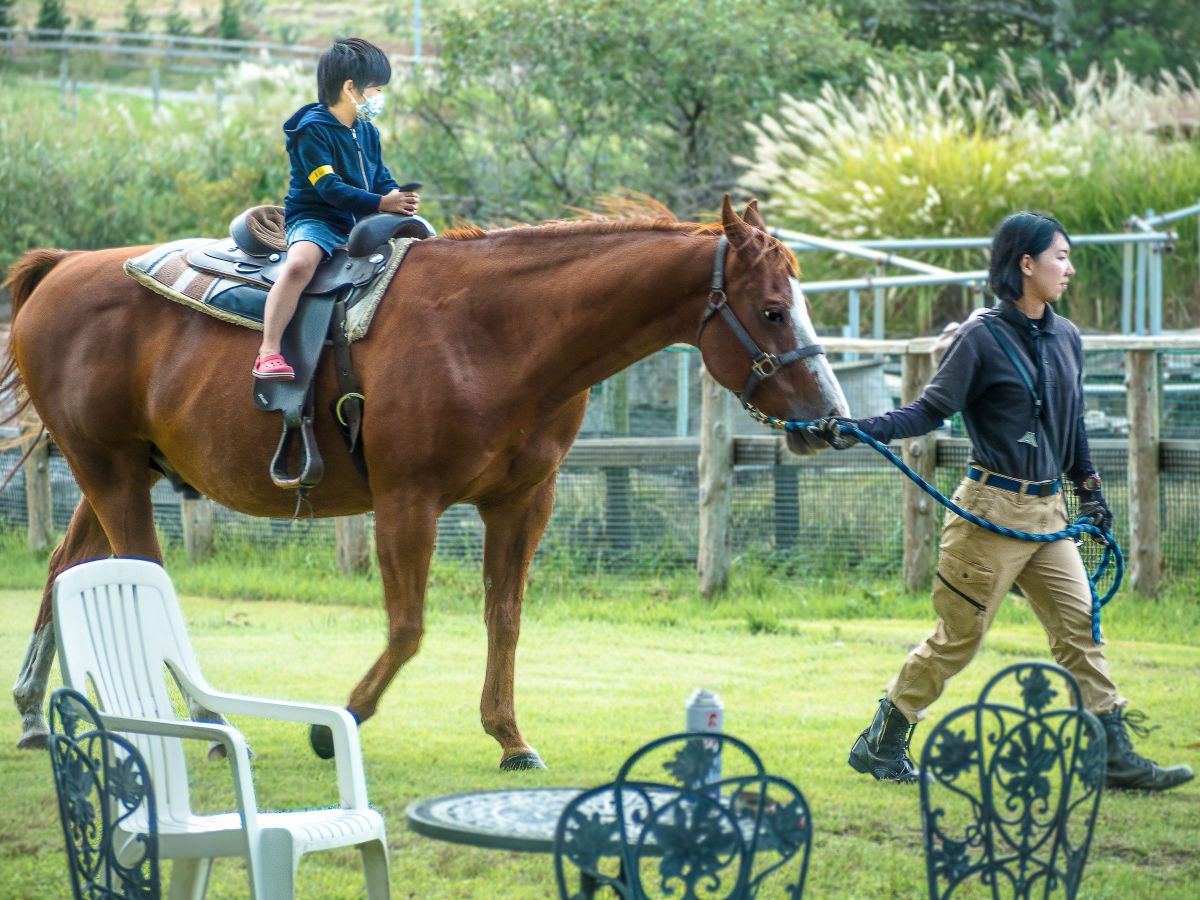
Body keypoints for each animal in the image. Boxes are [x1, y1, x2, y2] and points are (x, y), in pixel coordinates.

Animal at [4, 196, 848, 768]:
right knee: (134, 575)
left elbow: (505, 616)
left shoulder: (521, 503)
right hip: (110, 471)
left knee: (62, 570)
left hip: (117, 473)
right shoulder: (407, 503)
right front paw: (337, 723)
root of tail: (64, 268)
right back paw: (206, 726)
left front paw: (509, 736)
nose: (832, 419)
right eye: (774, 311)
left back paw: (38, 712)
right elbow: (408, 627)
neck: (493, 333)